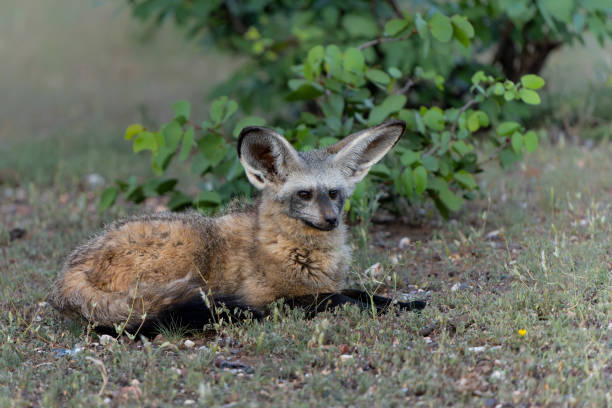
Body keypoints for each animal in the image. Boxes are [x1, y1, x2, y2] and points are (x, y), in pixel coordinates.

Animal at [50, 119, 426, 336]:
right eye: (304, 194)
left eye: (334, 194)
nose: (331, 220)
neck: (302, 254)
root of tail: (68, 271)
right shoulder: (273, 297)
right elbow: (343, 299)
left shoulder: (323, 285)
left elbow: (363, 294)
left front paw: (405, 303)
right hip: (190, 254)